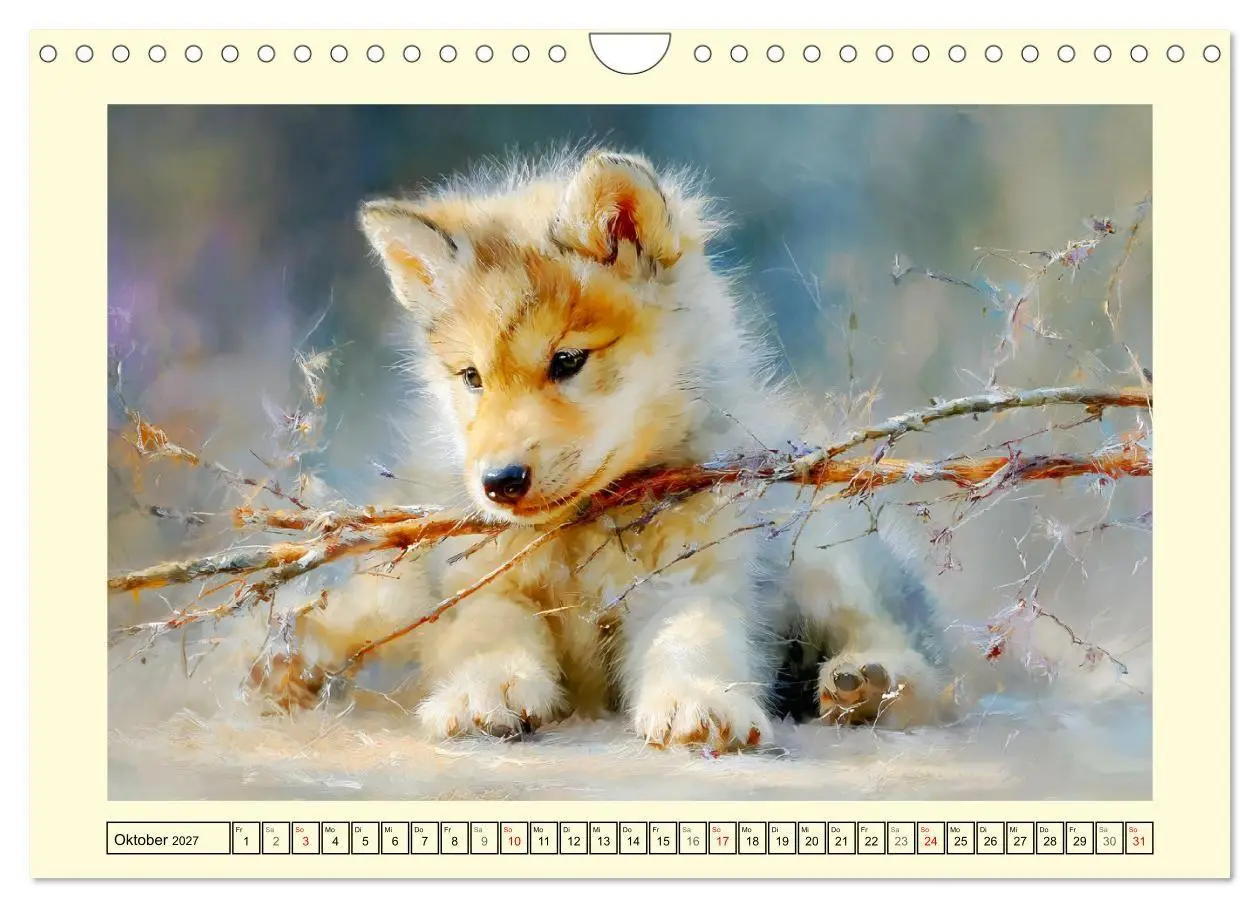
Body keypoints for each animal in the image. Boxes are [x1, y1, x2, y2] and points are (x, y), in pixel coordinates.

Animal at [276, 149, 953, 750]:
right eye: (472, 378)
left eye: (567, 360)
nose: (500, 482)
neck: (581, 535)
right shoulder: (476, 577)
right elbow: (485, 633)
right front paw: (484, 692)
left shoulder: (692, 574)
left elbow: (693, 637)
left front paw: (698, 701)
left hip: (819, 557)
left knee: (916, 653)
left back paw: (868, 683)